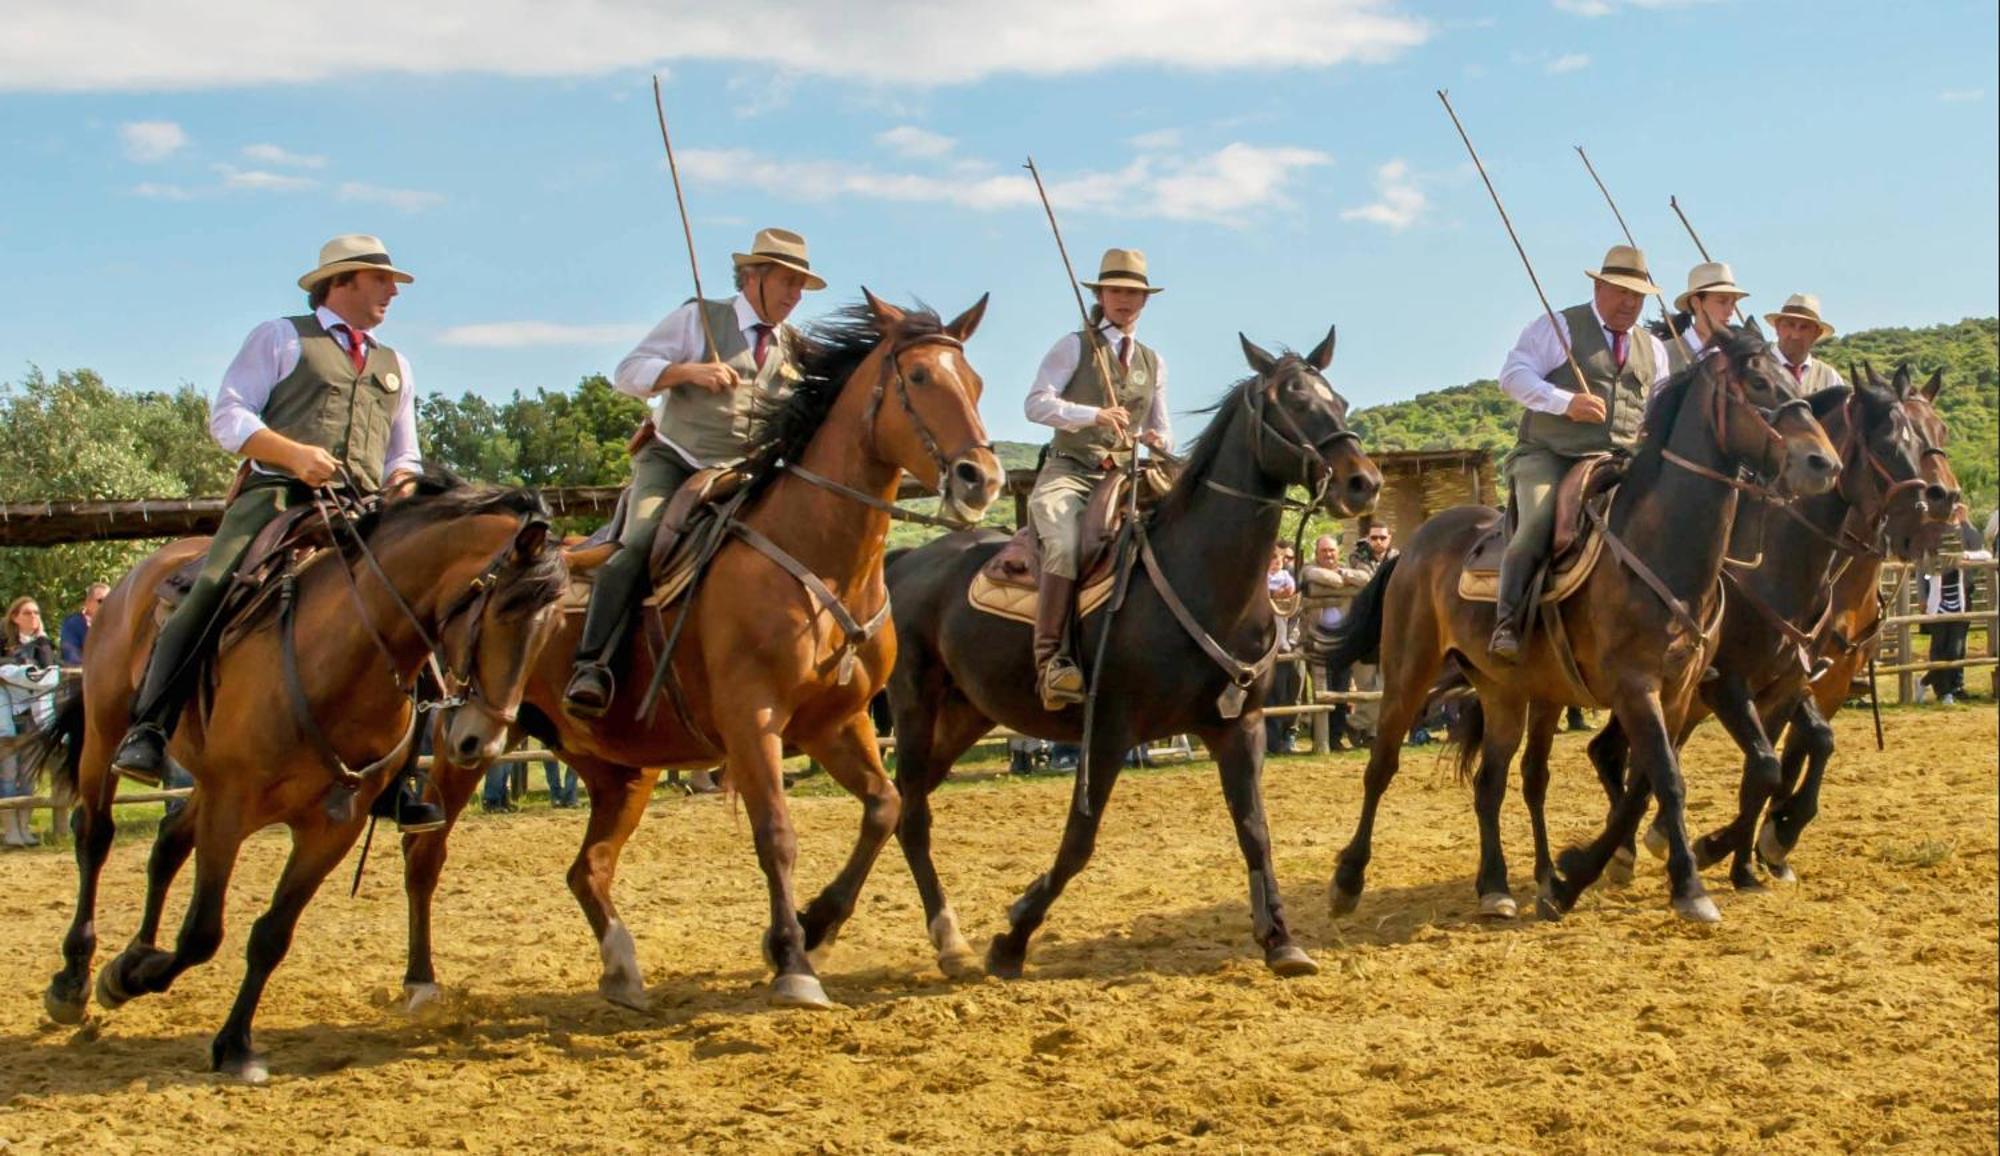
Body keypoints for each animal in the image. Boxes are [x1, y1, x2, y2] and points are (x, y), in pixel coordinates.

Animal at [27, 472, 568, 1072]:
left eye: (551, 627)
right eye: (504, 611)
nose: (480, 740)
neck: (334, 662)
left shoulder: (332, 827)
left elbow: (272, 934)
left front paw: (229, 1039)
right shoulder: (230, 805)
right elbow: (202, 933)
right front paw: (139, 982)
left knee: (167, 841)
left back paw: (135, 953)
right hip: (105, 739)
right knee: (95, 836)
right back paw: (74, 978)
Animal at [402, 294, 1000, 1008]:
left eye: (975, 383)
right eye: (918, 378)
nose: (981, 479)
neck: (822, 566)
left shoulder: (837, 722)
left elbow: (884, 808)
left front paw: (816, 927)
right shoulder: (753, 723)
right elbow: (777, 834)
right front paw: (793, 961)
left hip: (618, 767)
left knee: (587, 869)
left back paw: (623, 971)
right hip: (467, 739)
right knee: (426, 854)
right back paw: (420, 983)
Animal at [884, 328, 1384, 976]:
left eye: (1339, 401)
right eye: (1292, 401)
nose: (1363, 483)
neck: (1200, 575)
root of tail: (904, 561)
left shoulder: (1239, 725)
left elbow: (1254, 829)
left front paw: (1280, 938)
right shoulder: (1108, 731)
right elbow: (1079, 840)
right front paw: (1013, 936)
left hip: (965, 714)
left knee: (898, 805)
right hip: (915, 708)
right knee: (910, 812)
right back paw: (939, 940)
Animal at [1320, 320, 1832, 924]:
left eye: (1791, 377)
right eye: (1758, 382)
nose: (1823, 463)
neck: (1655, 550)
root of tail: (1412, 546)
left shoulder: (1679, 693)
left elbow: (1646, 784)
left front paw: (1571, 878)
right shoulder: (1639, 689)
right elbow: (1667, 780)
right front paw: (1688, 885)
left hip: (1507, 692)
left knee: (1497, 782)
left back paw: (1498, 885)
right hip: (1408, 674)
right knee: (1382, 765)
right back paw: (1348, 880)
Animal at [1592, 366, 1968, 880]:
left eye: (1940, 431)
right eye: (1888, 440)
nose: (1939, 502)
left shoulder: (1810, 684)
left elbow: (1801, 751)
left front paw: (1763, 844)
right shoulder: (1730, 684)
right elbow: (1779, 758)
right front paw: (1735, 844)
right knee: (1621, 751)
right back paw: (1628, 846)